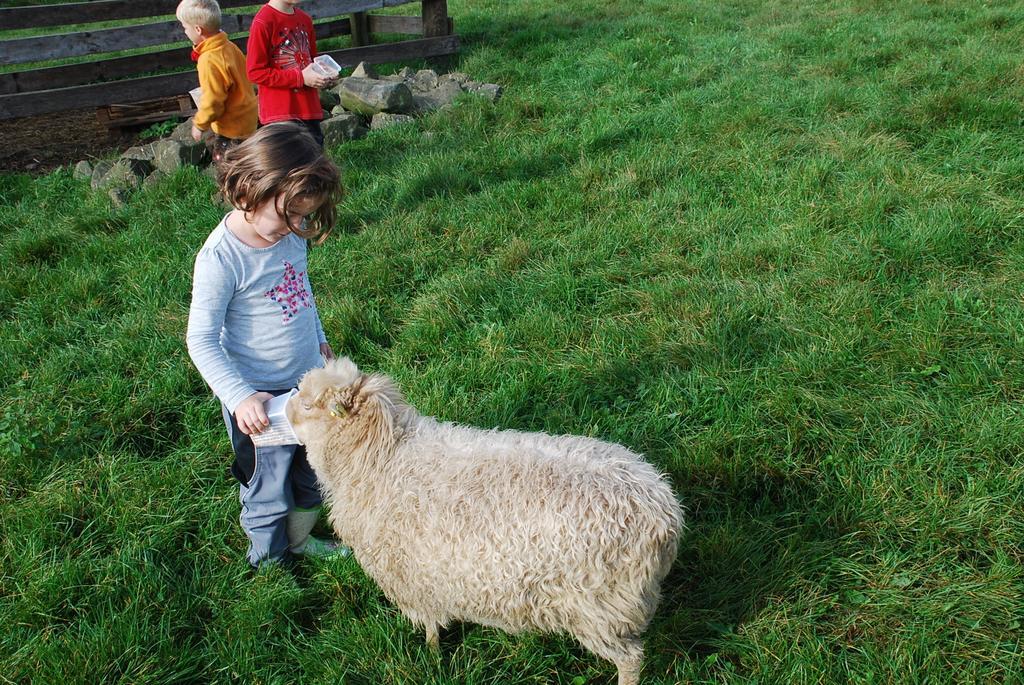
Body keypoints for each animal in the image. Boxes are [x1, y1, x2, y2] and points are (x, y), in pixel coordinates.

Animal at [288, 358, 684, 683]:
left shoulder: (412, 581)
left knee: (630, 659)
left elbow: (430, 627)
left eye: (307, 405)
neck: (379, 459)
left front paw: (431, 657)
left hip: (600, 610)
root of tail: (665, 513)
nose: (284, 410)